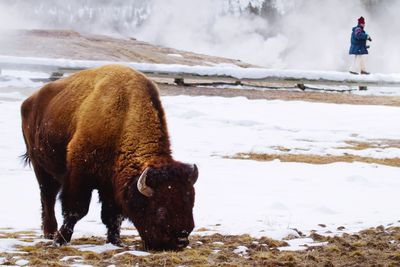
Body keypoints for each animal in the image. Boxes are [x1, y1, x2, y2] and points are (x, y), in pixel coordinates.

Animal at [20, 65, 198, 251]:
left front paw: (116, 241)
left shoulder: (112, 185)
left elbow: (112, 215)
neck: (122, 118)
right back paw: (50, 233)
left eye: (191, 203)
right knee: (47, 196)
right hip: (40, 165)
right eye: (160, 210)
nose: (181, 240)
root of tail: (29, 101)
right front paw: (60, 240)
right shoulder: (79, 176)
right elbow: (76, 210)